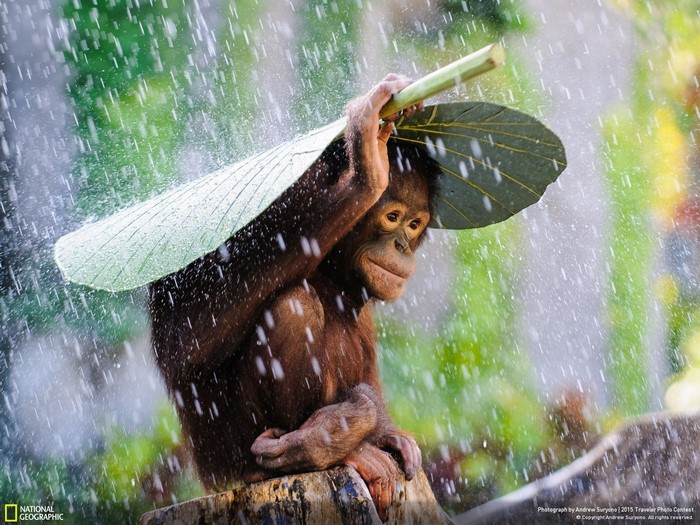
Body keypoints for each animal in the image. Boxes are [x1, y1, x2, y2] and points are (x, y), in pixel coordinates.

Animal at [148, 75, 440, 519]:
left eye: (414, 223)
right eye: (391, 217)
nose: (402, 246)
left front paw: (382, 432)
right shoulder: (278, 199)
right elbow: (185, 339)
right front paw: (366, 166)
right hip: (234, 454)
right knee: (293, 305)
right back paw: (329, 452)